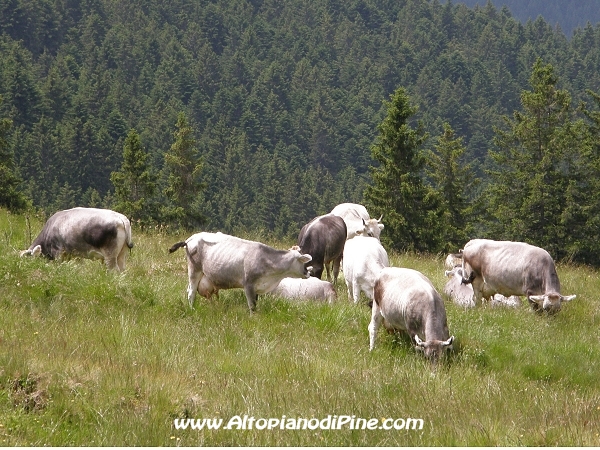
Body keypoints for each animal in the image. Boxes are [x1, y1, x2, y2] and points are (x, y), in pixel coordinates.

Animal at [168, 234, 312, 312]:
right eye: (303, 260)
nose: (308, 272)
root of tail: (191, 238)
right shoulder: (248, 284)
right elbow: (252, 306)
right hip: (194, 270)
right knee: (191, 292)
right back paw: (192, 310)